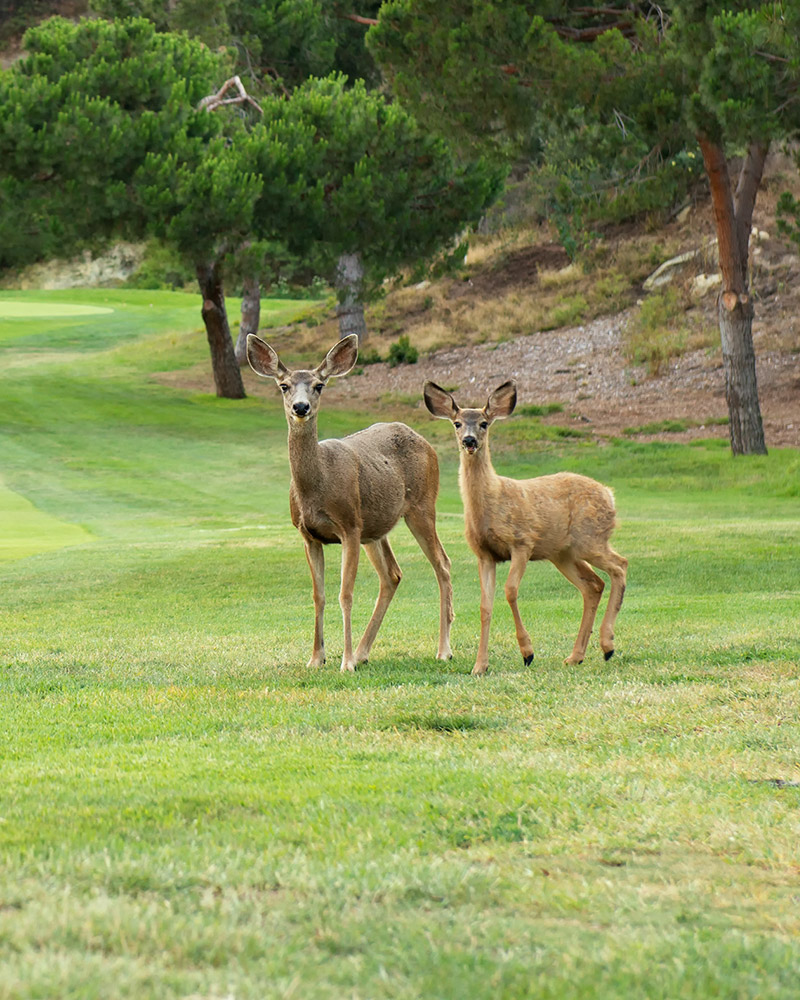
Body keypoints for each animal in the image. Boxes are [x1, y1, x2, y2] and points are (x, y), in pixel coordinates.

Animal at [247, 333, 454, 672]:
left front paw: (344, 663)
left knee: (442, 564)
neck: (316, 487)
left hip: (422, 506)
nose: (301, 407)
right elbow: (318, 595)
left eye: (319, 385)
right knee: (392, 574)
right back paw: (363, 651)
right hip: (375, 527)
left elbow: (346, 594)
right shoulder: (308, 535)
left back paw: (443, 649)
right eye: (284, 386)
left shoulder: (349, 527)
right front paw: (316, 658)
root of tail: (426, 442)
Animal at [423, 379, 627, 676]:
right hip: (563, 553)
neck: (492, 502)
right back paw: (575, 656)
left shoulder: (522, 542)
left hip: (590, 539)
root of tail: (610, 494)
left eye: (484, 423)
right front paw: (479, 666)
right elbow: (485, 606)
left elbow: (510, 591)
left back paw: (607, 644)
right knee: (594, 585)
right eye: (457, 423)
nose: (469, 440)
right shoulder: (484, 554)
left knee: (620, 565)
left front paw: (527, 652)